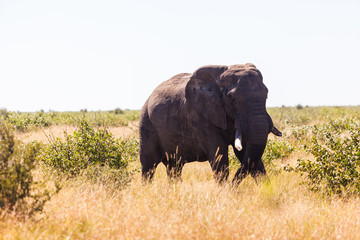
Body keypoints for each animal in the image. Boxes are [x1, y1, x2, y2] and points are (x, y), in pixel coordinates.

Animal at [139, 62, 282, 183]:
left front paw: (265, 188)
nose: (234, 185)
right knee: (149, 164)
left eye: (266, 94)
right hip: (146, 122)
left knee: (174, 166)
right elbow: (220, 157)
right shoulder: (199, 117)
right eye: (232, 99)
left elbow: (249, 155)